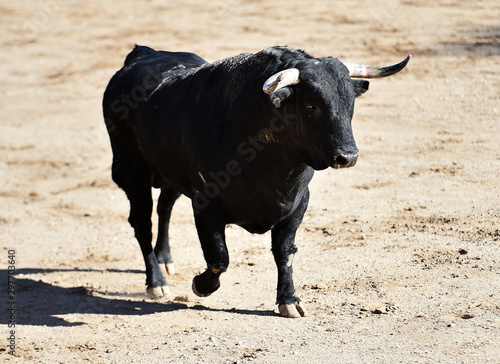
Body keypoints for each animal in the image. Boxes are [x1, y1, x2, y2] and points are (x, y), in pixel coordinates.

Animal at [102, 45, 410, 318]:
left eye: (350, 103)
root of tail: (143, 53)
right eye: (311, 105)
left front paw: (289, 300)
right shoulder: (206, 205)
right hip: (132, 171)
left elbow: (285, 253)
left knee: (164, 206)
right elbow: (219, 257)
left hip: (169, 171)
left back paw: (165, 260)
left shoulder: (297, 204)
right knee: (143, 223)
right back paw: (156, 282)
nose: (347, 156)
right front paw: (201, 286)